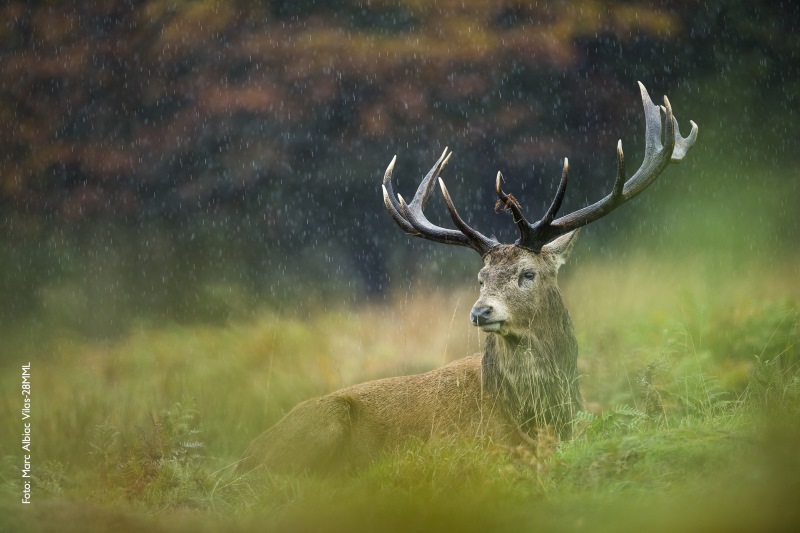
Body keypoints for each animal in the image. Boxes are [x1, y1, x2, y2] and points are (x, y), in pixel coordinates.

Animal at [238, 83, 692, 474]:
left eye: (528, 273)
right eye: (481, 277)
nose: (480, 311)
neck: (533, 418)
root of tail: (247, 453)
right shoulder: (456, 447)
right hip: (324, 422)